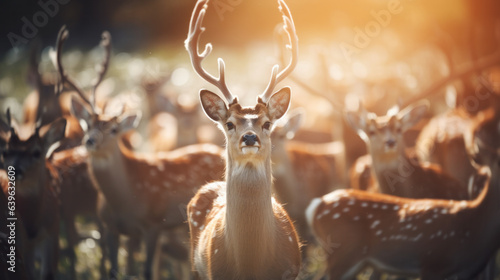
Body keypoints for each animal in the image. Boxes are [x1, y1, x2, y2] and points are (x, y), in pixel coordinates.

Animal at [54, 26, 225, 280]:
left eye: (114, 129)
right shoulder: (110, 227)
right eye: (86, 124)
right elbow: (113, 269)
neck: (125, 199)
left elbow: (146, 270)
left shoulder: (154, 223)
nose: (90, 141)